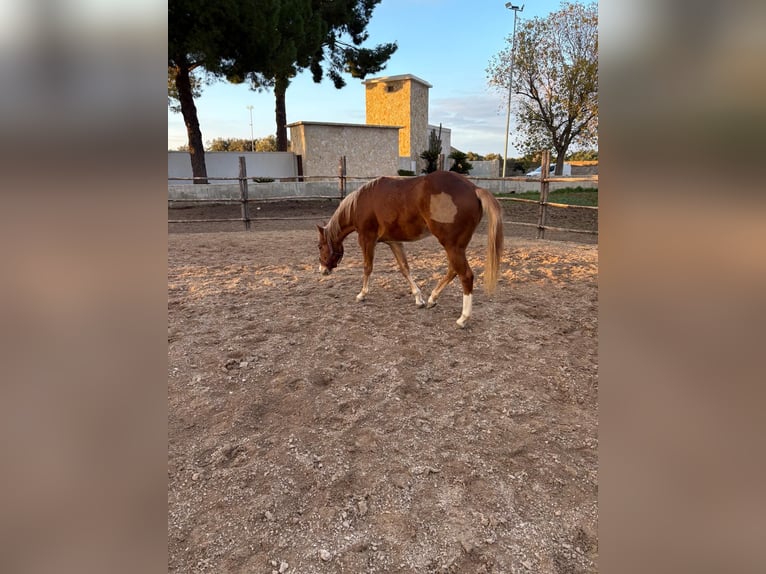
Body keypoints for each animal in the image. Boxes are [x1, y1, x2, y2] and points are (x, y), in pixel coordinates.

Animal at [316, 170, 504, 328]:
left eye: (319, 246)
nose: (322, 270)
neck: (360, 203)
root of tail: (474, 189)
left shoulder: (366, 238)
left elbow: (367, 267)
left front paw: (362, 294)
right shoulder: (394, 242)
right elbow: (404, 268)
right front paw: (419, 298)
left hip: (452, 246)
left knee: (465, 275)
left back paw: (463, 318)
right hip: (456, 247)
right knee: (453, 271)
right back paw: (432, 299)